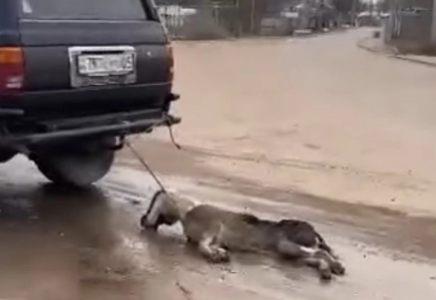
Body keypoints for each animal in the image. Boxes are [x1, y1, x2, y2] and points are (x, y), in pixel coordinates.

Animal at [140, 191, 344, 280]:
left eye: (152, 207)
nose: (143, 220)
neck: (187, 211)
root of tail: (313, 230)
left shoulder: (213, 227)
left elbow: (203, 246)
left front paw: (213, 255)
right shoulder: (215, 238)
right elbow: (212, 247)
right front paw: (220, 254)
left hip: (288, 247)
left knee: (320, 252)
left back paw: (334, 266)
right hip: (289, 254)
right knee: (318, 256)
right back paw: (329, 269)